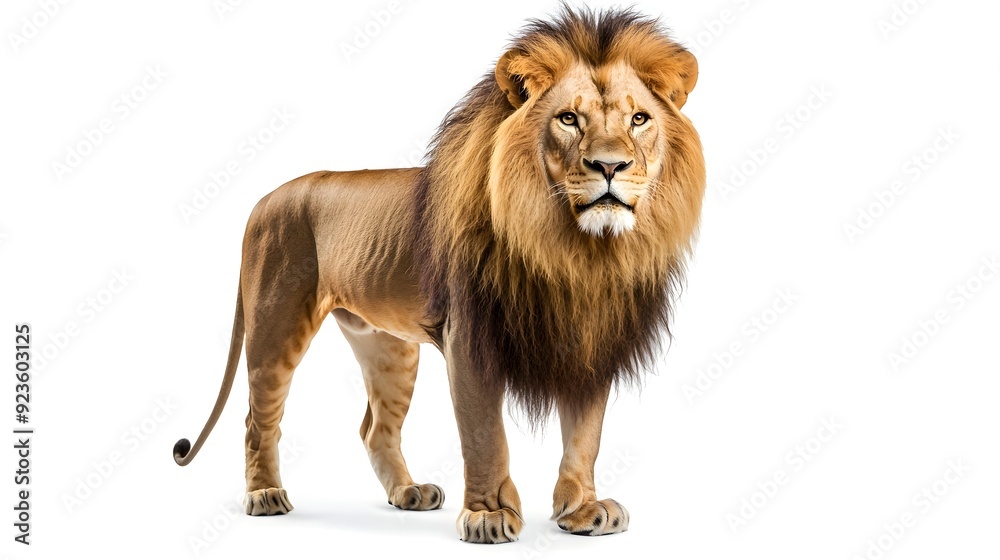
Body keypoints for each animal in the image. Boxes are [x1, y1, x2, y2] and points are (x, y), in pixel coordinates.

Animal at [173, 6, 704, 543]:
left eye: (639, 119)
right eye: (569, 118)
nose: (610, 166)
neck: (575, 252)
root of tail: (263, 199)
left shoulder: (591, 342)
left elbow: (584, 436)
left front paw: (582, 510)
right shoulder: (469, 338)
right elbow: (484, 434)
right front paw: (489, 515)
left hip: (389, 347)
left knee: (375, 429)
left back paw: (408, 493)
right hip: (276, 325)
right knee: (258, 418)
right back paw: (264, 494)